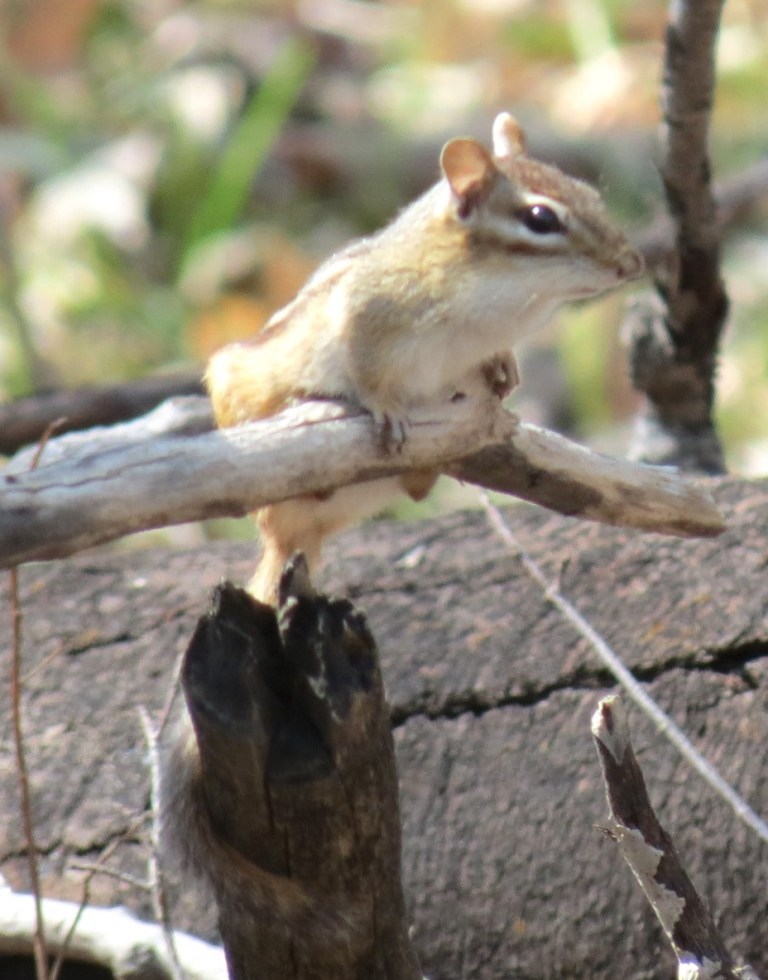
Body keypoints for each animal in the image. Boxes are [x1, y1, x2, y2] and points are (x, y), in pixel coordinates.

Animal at [205, 112, 643, 602]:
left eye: (591, 194)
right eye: (541, 218)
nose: (633, 263)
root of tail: (293, 538)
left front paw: (504, 365)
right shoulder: (362, 314)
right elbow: (365, 367)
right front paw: (386, 407)